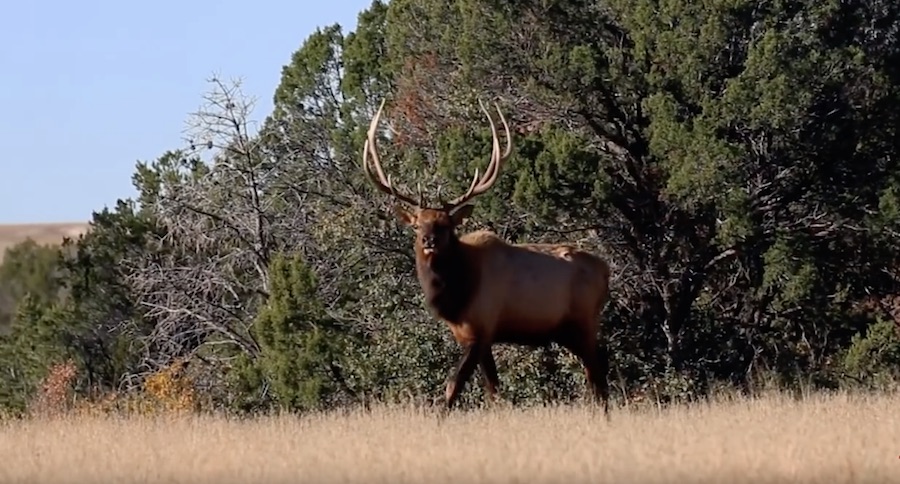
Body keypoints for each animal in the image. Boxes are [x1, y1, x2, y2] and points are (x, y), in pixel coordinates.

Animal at [362, 98, 616, 416]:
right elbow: (493, 390)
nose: (428, 240)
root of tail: (606, 270)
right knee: (596, 377)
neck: (457, 292)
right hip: (570, 331)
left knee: (598, 379)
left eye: (445, 224)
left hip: (583, 322)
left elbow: (453, 386)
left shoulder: (482, 328)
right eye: (418, 224)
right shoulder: (471, 336)